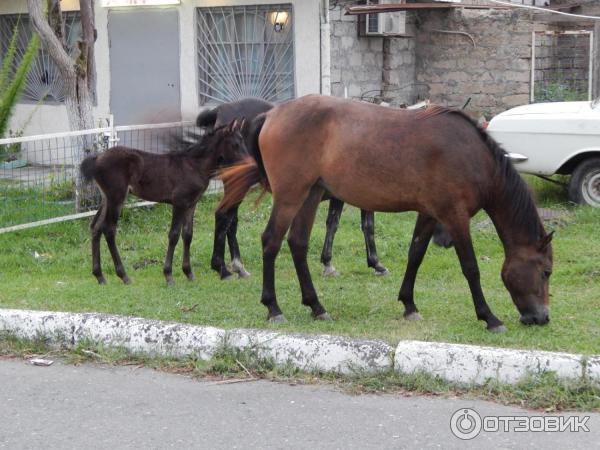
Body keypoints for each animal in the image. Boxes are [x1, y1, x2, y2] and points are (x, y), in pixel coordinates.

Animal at [80, 120, 248, 284]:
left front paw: (189, 273)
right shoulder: (179, 202)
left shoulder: (191, 204)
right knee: (109, 229)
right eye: (235, 144)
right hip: (116, 198)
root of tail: (98, 158)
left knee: (96, 227)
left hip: (107, 199)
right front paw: (169, 276)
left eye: (242, 141)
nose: (248, 163)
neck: (194, 165)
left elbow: (188, 234)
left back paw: (100, 276)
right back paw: (124, 276)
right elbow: (174, 235)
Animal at [197, 96, 390, 276]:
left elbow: (343, 224)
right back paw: (230, 265)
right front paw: (373, 263)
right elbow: (358, 225)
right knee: (224, 217)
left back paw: (235, 265)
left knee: (230, 220)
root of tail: (220, 110)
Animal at [219, 96, 552, 334]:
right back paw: (273, 308)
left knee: (297, 243)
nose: (542, 317)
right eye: (546, 271)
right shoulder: (455, 218)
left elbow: (415, 255)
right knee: (271, 241)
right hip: (291, 195)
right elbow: (471, 268)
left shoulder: (429, 214)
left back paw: (316, 306)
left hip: (311, 195)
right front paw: (489, 317)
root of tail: (271, 115)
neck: (472, 156)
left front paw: (409, 305)